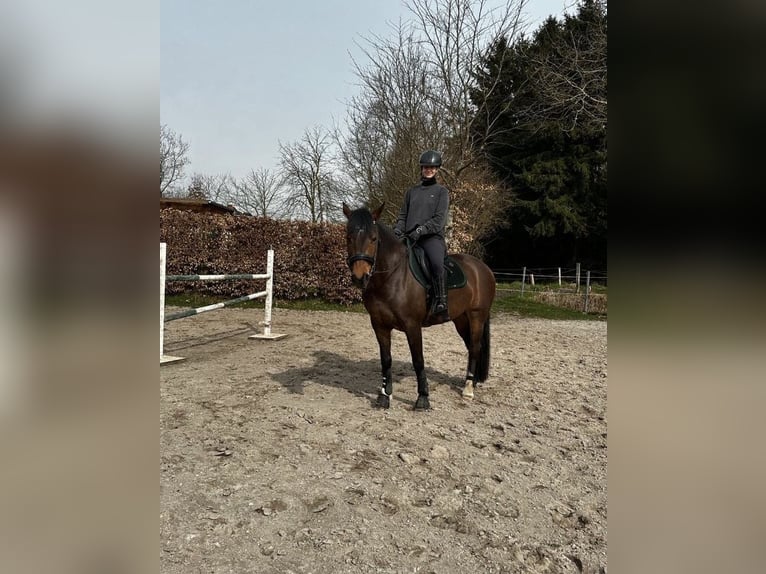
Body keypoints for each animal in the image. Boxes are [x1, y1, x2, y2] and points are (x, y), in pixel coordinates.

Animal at [343, 203, 496, 409]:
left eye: (373, 239)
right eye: (348, 237)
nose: (360, 277)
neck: (392, 276)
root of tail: (483, 268)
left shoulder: (412, 325)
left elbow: (418, 360)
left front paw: (423, 398)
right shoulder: (379, 325)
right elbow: (386, 360)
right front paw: (384, 395)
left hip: (476, 316)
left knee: (474, 347)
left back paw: (468, 389)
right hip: (461, 319)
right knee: (471, 346)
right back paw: (473, 381)